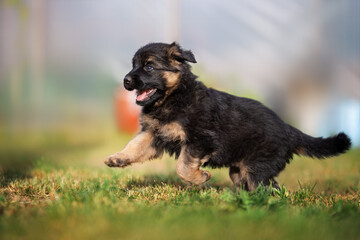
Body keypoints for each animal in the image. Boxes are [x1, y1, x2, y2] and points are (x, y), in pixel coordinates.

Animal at [104, 42, 352, 190]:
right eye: (133, 65)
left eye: (148, 67)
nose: (126, 80)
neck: (173, 97)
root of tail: (288, 128)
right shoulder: (154, 133)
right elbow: (135, 146)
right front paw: (118, 158)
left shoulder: (200, 139)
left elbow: (183, 166)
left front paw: (200, 178)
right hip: (239, 171)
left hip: (256, 168)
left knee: (268, 189)